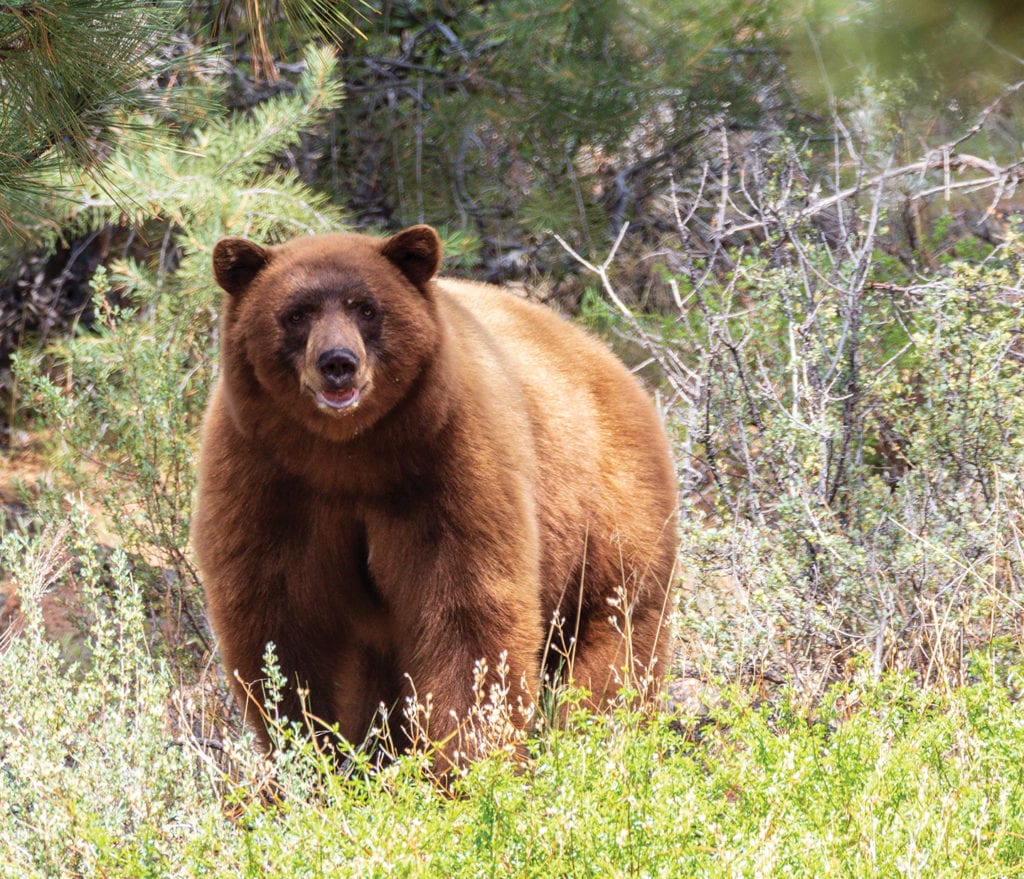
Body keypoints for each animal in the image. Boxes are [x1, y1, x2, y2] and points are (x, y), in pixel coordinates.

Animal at [192, 222, 675, 770]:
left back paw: (599, 741)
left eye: (366, 308)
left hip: (613, 519)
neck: (346, 456)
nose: (337, 363)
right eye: (297, 314)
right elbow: (281, 620)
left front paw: (465, 761)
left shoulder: (449, 466)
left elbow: (467, 613)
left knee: (615, 639)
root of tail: (611, 360)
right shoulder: (266, 478)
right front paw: (316, 752)